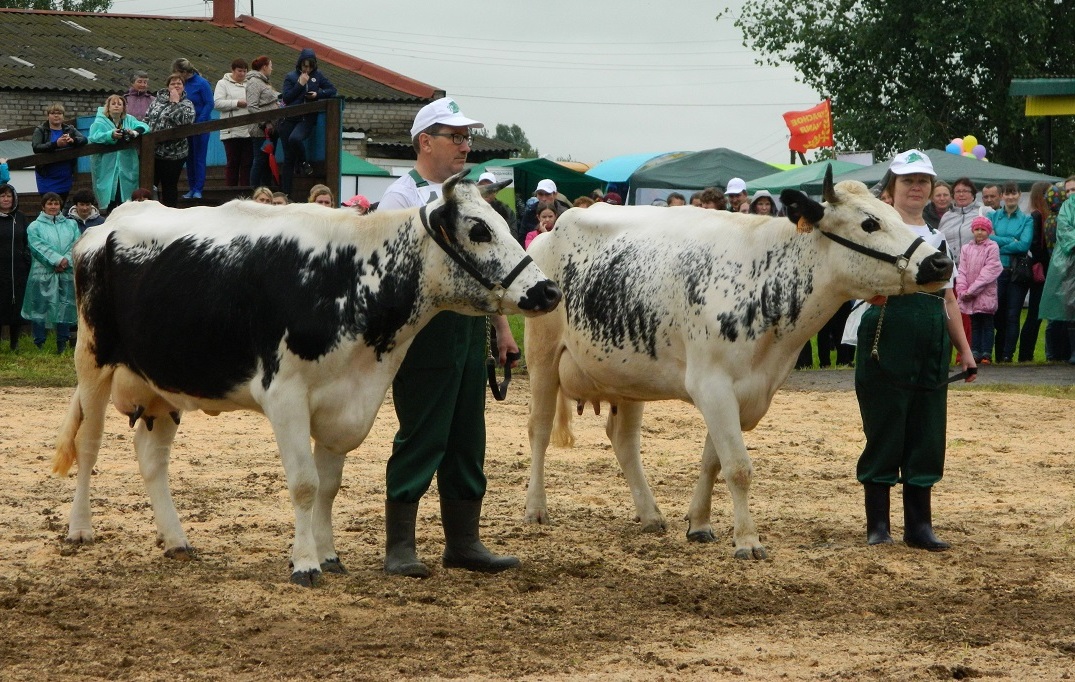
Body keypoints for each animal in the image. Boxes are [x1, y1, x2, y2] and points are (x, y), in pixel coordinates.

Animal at [524, 169, 954, 559]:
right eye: (869, 222)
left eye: (898, 215)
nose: (940, 263)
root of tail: (552, 230)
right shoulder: (711, 385)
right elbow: (737, 467)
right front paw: (747, 540)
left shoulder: (747, 392)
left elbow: (712, 462)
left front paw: (699, 524)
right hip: (542, 356)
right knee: (539, 431)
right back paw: (536, 510)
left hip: (628, 376)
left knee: (624, 440)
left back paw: (650, 515)